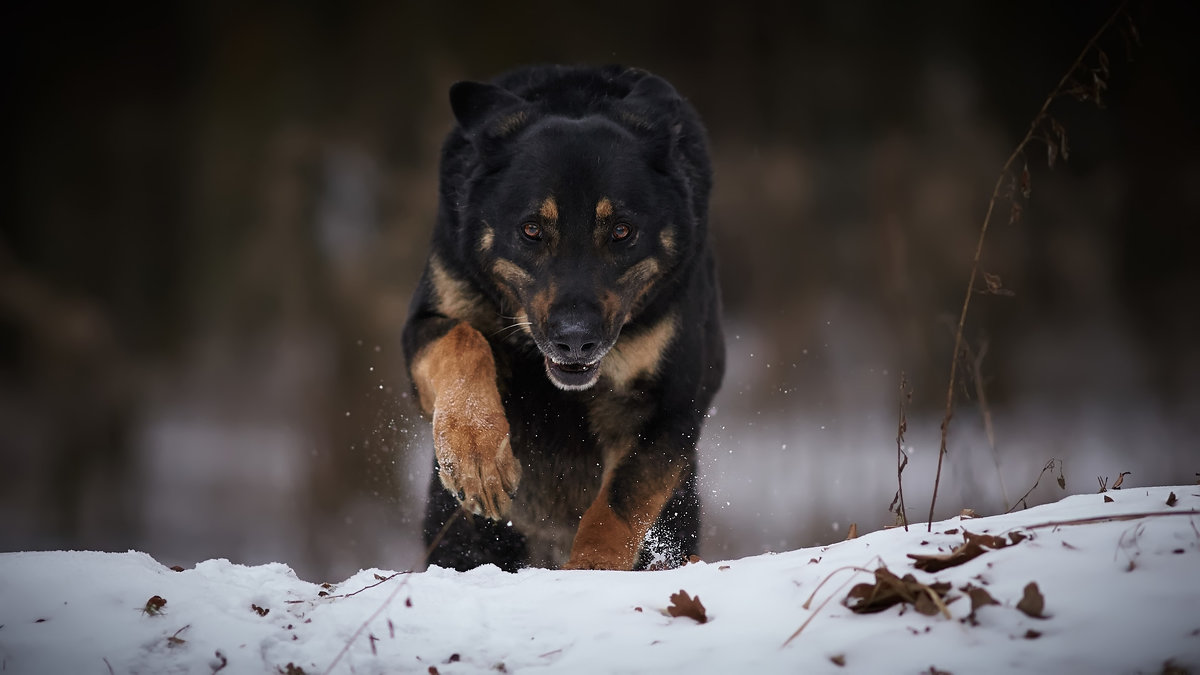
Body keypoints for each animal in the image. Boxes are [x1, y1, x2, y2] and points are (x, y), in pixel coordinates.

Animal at [400, 64, 720, 566]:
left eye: (622, 231)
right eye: (531, 230)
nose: (575, 339)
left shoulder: (670, 405)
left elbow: (616, 511)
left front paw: (590, 570)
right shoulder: (425, 323)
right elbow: (463, 341)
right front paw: (476, 457)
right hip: (460, 537)